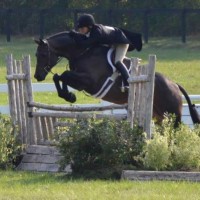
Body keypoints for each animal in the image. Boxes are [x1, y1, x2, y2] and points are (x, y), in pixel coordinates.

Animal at [33, 30, 199, 126]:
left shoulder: (90, 82)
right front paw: (68, 96)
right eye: (36, 55)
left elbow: (63, 75)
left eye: (43, 54)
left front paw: (69, 95)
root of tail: (175, 84)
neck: (83, 52)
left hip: (173, 114)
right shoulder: (80, 82)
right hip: (158, 115)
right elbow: (59, 77)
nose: (38, 76)